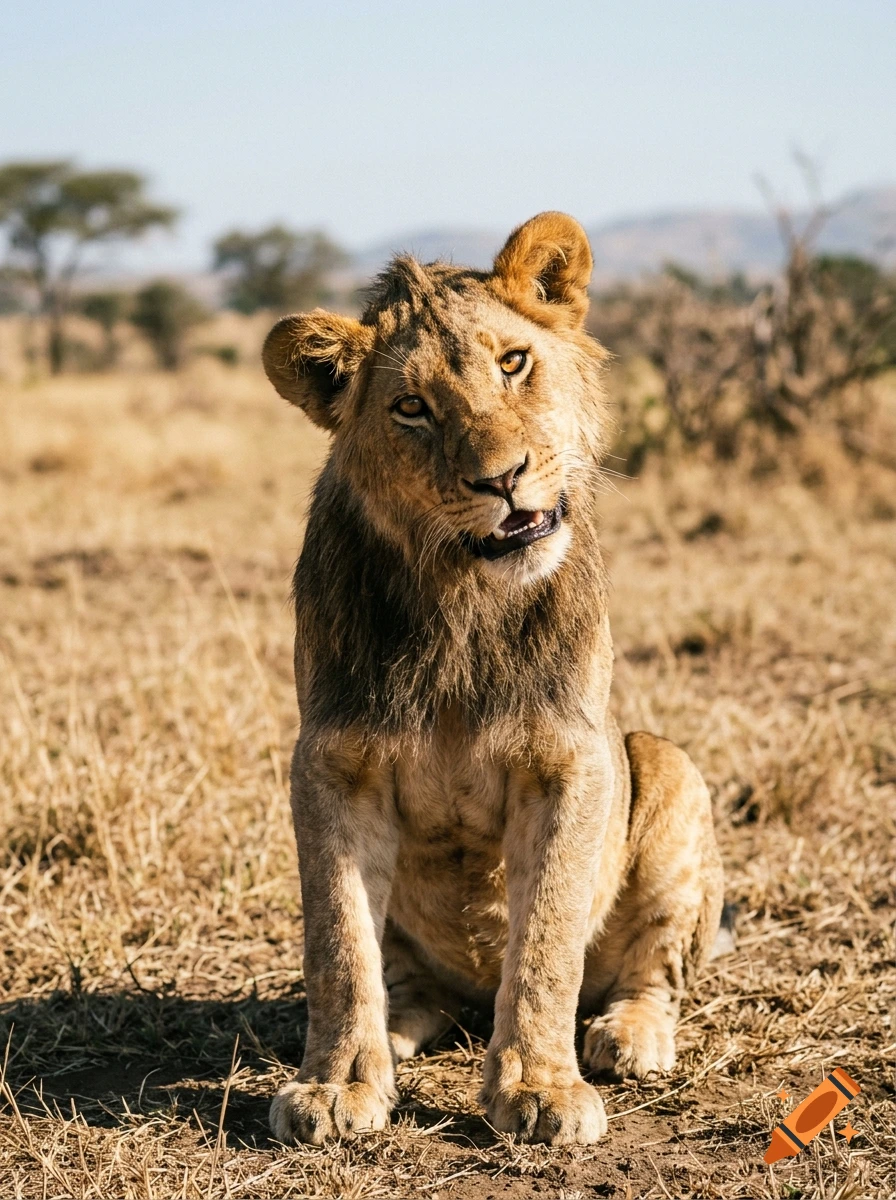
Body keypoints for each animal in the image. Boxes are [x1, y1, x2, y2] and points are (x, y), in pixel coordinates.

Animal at [261, 212, 725, 1147]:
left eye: (514, 362)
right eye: (410, 407)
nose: (503, 479)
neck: (462, 595)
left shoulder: (571, 759)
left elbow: (545, 938)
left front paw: (541, 1087)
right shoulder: (329, 762)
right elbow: (337, 943)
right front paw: (335, 1086)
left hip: (664, 764)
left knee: (651, 973)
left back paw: (628, 1038)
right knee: (410, 986)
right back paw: (393, 1037)